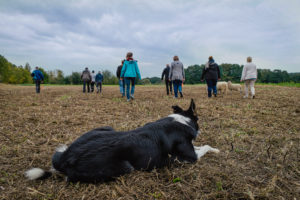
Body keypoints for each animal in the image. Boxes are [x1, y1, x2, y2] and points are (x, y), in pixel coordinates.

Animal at [25, 99, 218, 184]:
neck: (182, 121)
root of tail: (66, 159)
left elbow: (202, 145)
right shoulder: (189, 158)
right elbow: (204, 146)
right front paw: (216, 150)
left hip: (106, 127)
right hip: (126, 167)